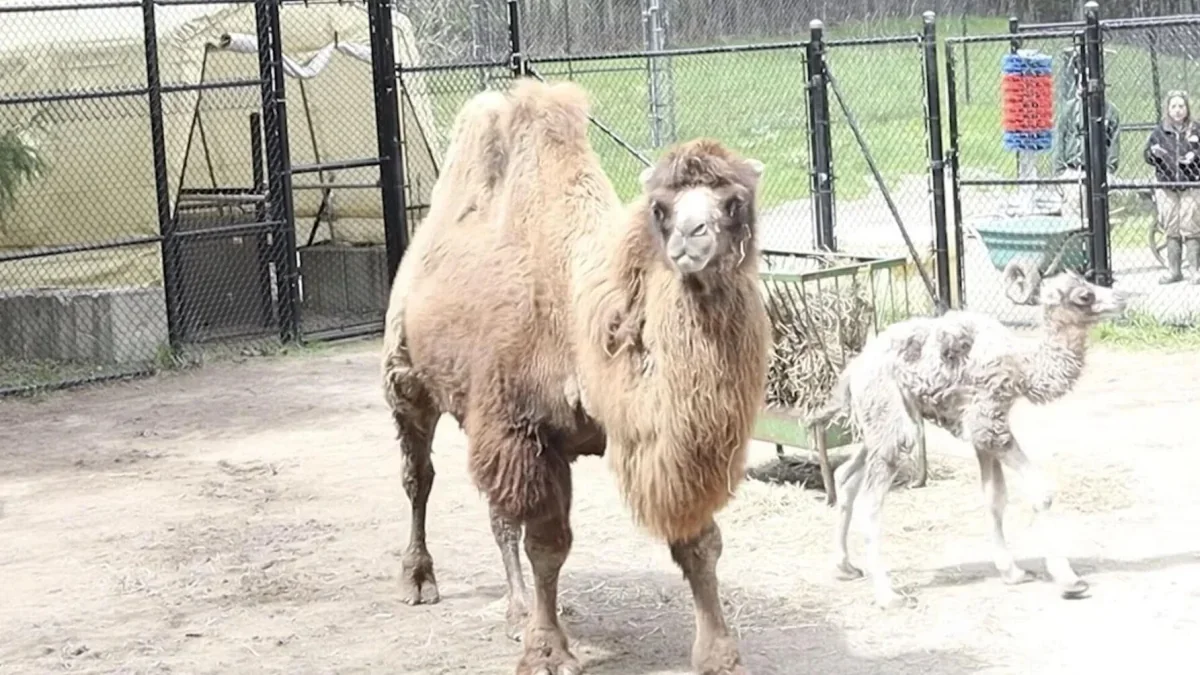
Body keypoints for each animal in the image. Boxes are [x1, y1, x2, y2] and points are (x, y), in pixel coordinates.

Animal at [382, 78, 772, 675]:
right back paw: (422, 580)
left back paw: (516, 609)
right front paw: (546, 650)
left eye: (734, 202)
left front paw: (720, 654)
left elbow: (697, 539)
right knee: (419, 477)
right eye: (659, 208)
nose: (690, 237)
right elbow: (548, 546)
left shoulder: (656, 442)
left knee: (496, 513)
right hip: (407, 381)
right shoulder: (525, 429)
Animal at [809, 270, 1126, 608]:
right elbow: (1040, 493)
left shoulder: (980, 431)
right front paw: (1069, 580)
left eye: (1090, 282)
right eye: (1084, 296)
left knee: (845, 476)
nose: (1121, 298)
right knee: (871, 502)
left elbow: (994, 497)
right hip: (892, 419)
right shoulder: (989, 423)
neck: (1021, 366)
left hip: (881, 424)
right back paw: (888, 596)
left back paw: (845, 567)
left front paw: (1012, 572)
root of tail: (853, 371)